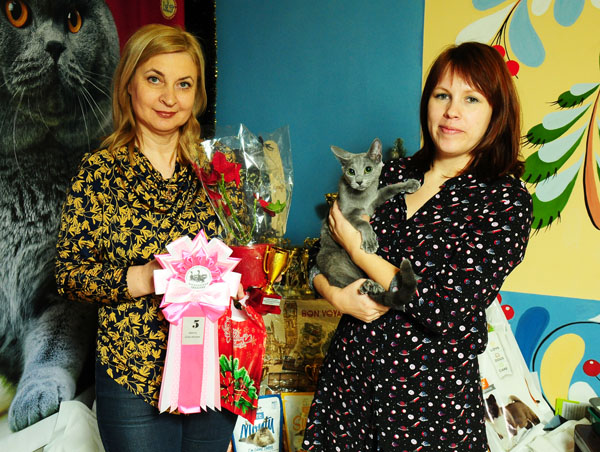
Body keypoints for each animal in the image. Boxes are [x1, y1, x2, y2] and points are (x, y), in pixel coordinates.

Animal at [0, 0, 119, 431]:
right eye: (15, 11)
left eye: (74, 20)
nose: (54, 46)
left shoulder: (61, 287)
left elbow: (53, 346)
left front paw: (36, 398)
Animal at [316, 138, 420, 310]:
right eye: (351, 171)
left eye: (368, 169)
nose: (359, 181)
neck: (363, 198)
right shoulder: (346, 213)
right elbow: (363, 224)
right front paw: (370, 243)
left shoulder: (375, 199)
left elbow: (389, 188)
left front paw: (410, 184)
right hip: (334, 262)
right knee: (348, 281)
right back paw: (369, 285)